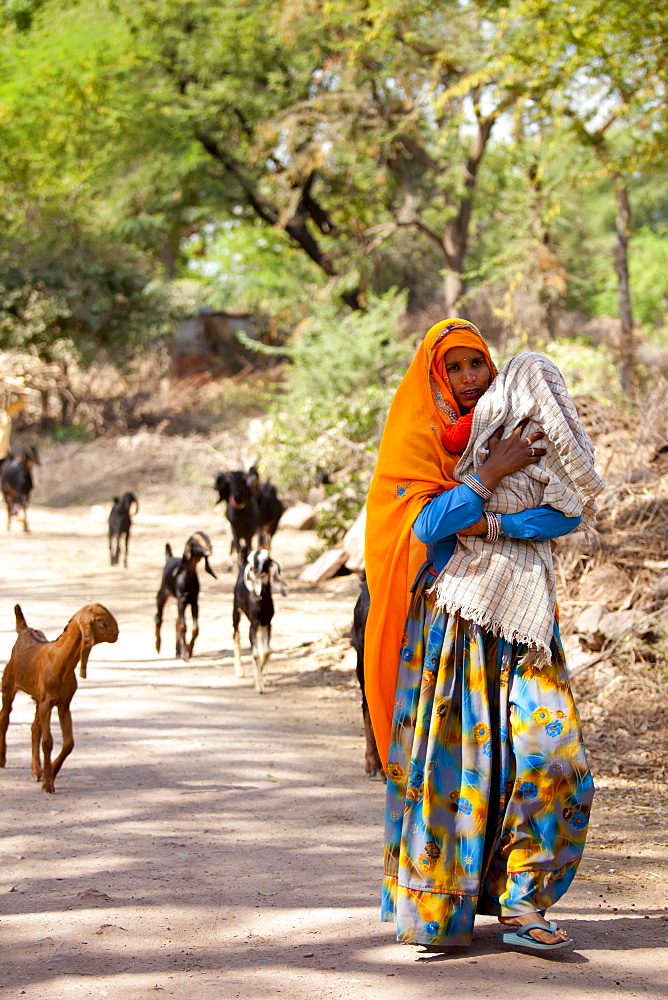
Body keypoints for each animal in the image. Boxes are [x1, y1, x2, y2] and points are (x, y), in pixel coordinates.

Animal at [154, 532, 217, 664]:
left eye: (206, 538)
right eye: (196, 542)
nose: (210, 548)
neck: (187, 577)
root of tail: (170, 557)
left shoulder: (194, 602)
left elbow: (195, 628)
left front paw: (189, 649)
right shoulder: (181, 601)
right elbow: (184, 626)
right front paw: (186, 654)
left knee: (176, 621)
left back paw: (178, 650)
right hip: (163, 594)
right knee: (158, 618)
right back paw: (158, 646)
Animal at [234, 548, 286, 696]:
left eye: (266, 560)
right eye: (251, 560)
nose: (254, 570)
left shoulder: (267, 623)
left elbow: (266, 652)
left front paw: (260, 677)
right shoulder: (254, 623)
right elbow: (256, 653)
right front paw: (258, 685)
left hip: (260, 626)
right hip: (236, 612)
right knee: (236, 636)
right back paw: (240, 671)